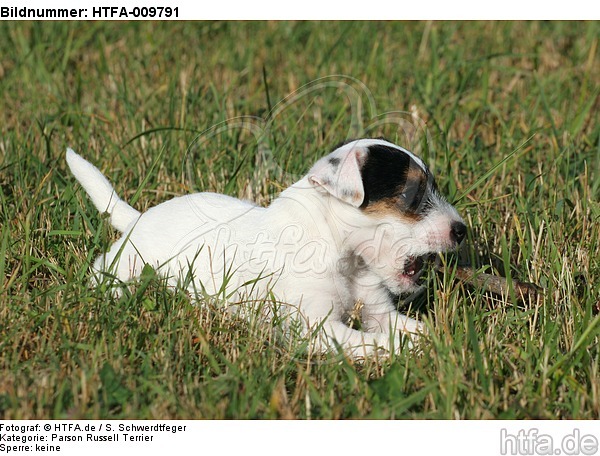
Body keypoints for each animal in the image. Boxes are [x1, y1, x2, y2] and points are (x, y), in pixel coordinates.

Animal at [67, 137, 468, 358]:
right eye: (411, 194)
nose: (462, 231)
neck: (344, 256)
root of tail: (137, 219)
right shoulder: (318, 330)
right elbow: (377, 344)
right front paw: (414, 352)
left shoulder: (377, 311)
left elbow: (408, 328)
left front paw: (448, 341)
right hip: (122, 269)